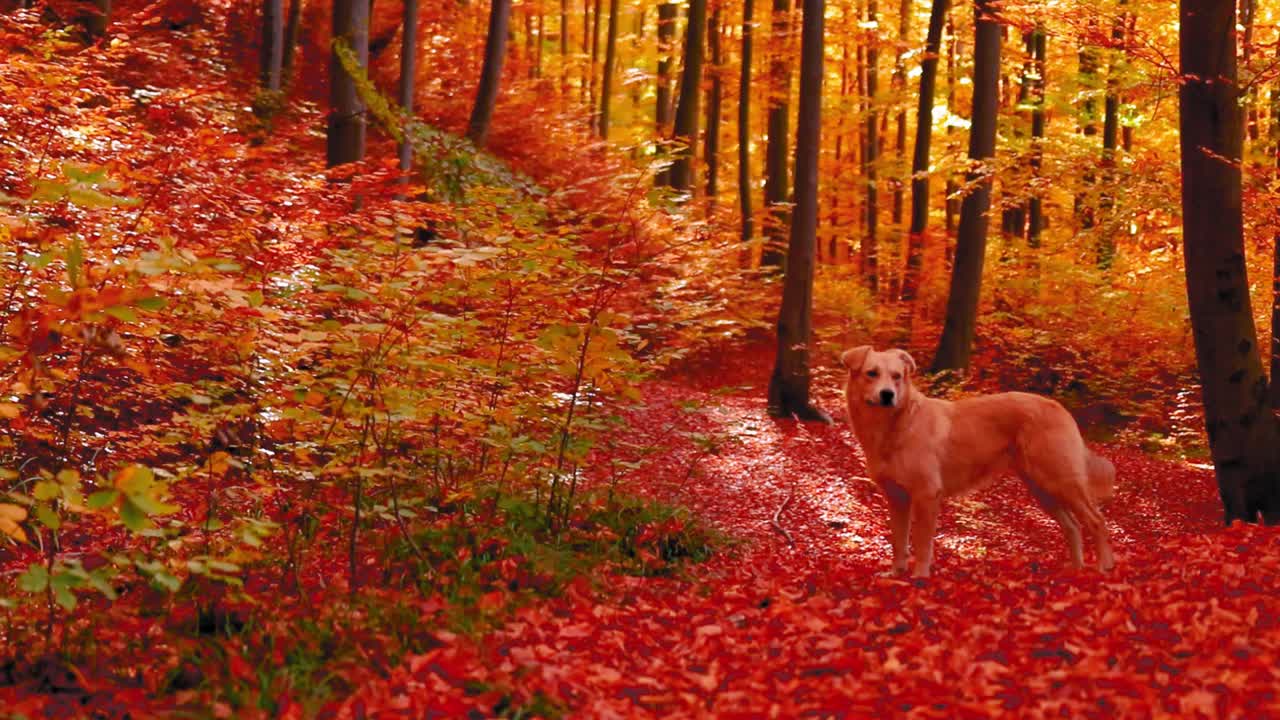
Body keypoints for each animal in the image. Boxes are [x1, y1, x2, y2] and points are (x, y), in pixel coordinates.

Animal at [839, 345, 1111, 573]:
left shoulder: (926, 495)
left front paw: (919, 579)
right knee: (1073, 526)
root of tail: (1059, 407)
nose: (888, 395)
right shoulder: (897, 497)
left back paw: (1104, 568)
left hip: (1061, 480)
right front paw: (896, 575)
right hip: (1042, 488)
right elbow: (899, 541)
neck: (897, 425)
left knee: (1097, 521)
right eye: (872, 373)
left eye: (896, 376)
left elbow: (922, 545)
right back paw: (1076, 570)